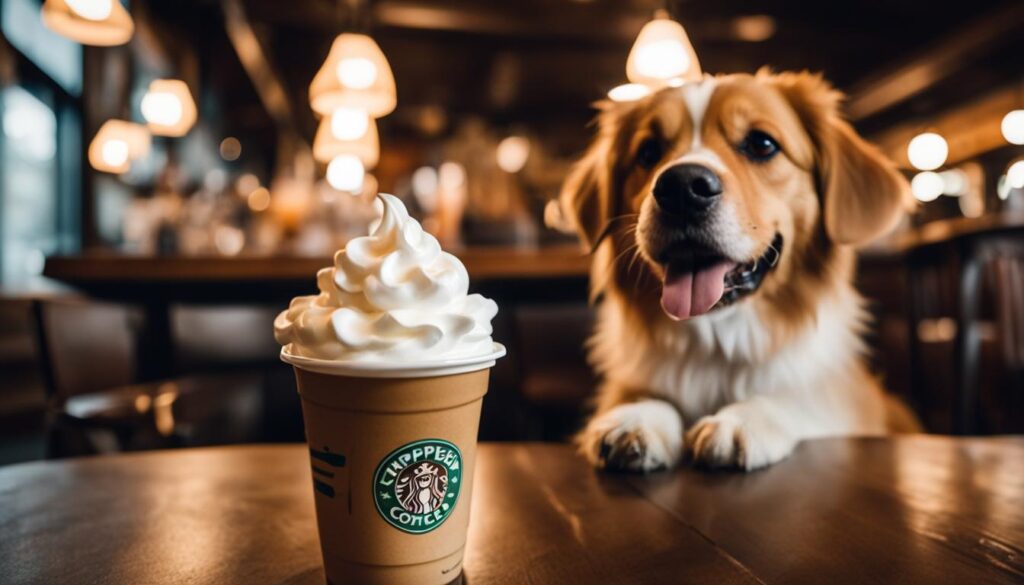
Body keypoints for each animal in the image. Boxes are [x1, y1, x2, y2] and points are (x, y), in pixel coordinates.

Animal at [552, 69, 921, 471]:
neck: (718, 343)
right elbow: (645, 395)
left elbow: (801, 396)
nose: (682, 187)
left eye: (762, 144)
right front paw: (639, 415)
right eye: (648, 152)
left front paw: (746, 418)